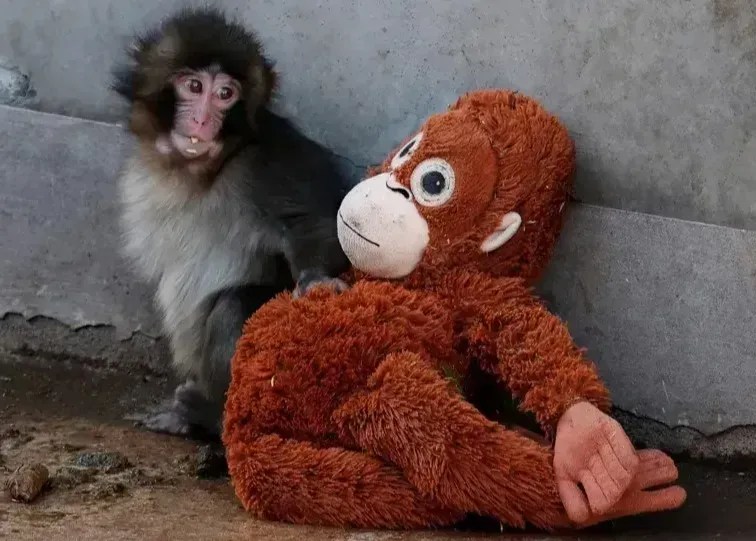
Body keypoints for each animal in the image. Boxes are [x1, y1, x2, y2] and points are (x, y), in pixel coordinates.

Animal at [111, 8, 351, 441]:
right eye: (193, 86)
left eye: (226, 94)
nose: (203, 119)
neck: (200, 172)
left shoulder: (266, 160)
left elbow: (319, 220)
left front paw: (315, 280)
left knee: (232, 306)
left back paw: (210, 416)